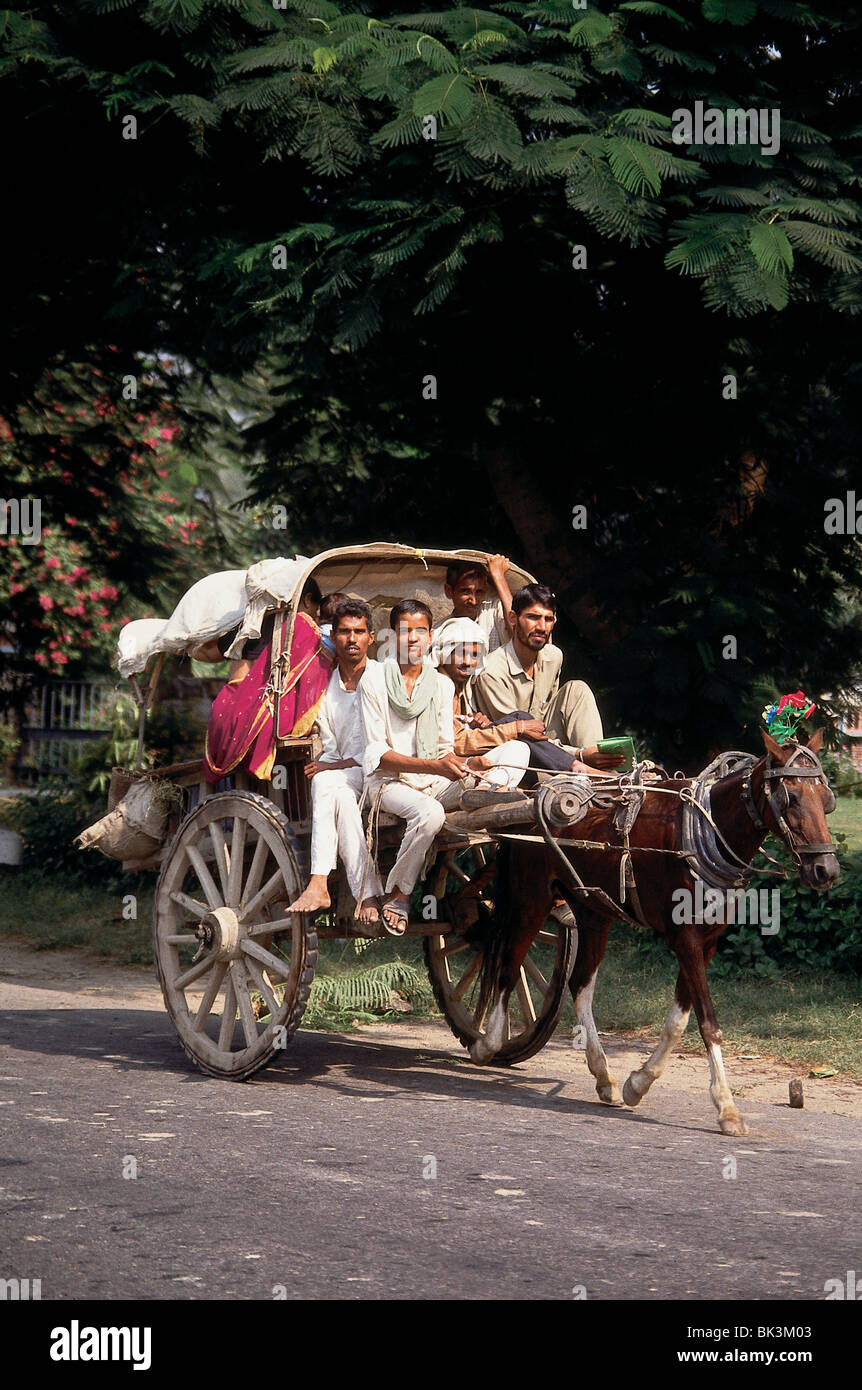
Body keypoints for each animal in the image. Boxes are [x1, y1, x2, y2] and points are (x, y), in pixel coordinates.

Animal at [472, 733, 839, 1134]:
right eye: (790, 798)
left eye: (826, 798)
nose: (827, 869)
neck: (706, 833)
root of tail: (533, 792)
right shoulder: (685, 939)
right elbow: (708, 1023)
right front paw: (727, 1107)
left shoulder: (705, 943)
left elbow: (679, 1021)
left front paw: (639, 1082)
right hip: (530, 898)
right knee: (509, 966)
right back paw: (488, 1043)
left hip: (593, 911)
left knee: (579, 985)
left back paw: (603, 1075)